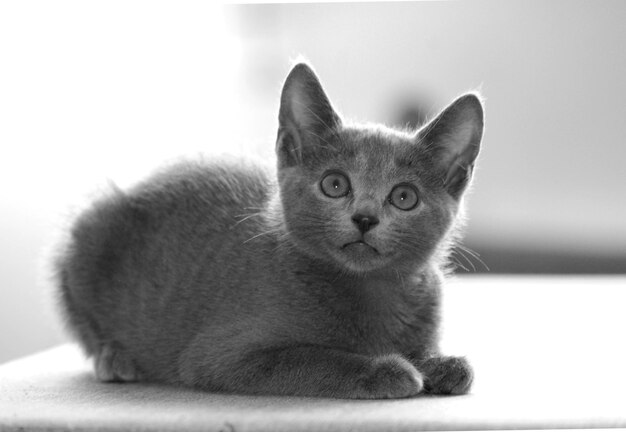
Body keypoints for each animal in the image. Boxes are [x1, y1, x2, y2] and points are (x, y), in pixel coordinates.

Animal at [53, 63, 482, 398]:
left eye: (404, 197)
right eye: (335, 184)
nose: (364, 217)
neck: (374, 290)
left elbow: (437, 355)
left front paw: (441, 364)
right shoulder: (221, 356)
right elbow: (315, 358)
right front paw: (387, 369)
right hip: (87, 233)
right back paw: (115, 358)